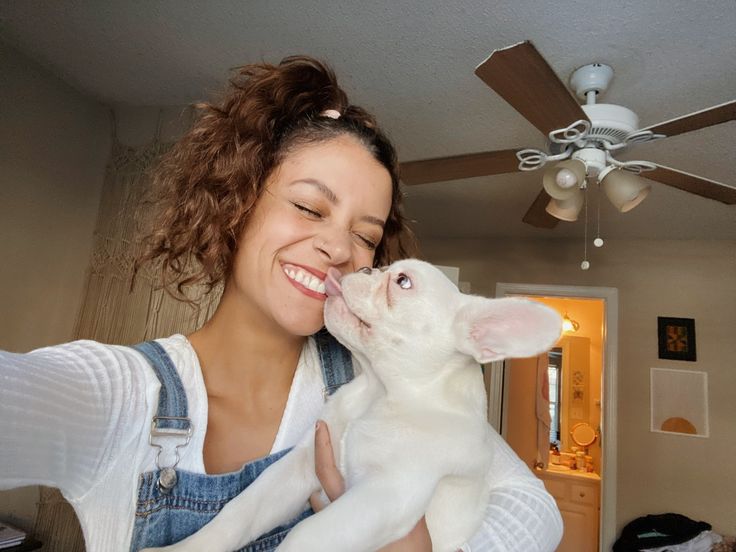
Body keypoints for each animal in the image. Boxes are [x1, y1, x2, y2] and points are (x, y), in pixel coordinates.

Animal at [142, 259, 561, 552]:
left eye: (402, 281)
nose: (363, 267)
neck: (382, 393)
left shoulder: (387, 494)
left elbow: (304, 535)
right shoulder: (301, 464)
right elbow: (239, 512)